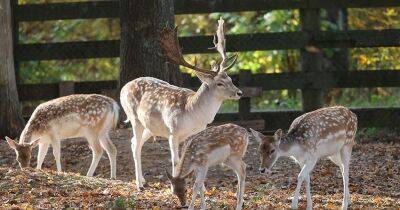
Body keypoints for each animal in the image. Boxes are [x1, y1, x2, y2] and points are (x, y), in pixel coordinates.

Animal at [120, 16, 242, 190]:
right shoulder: (173, 131)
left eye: (230, 79)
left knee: (134, 143)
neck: (192, 112)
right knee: (135, 144)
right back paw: (139, 184)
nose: (239, 93)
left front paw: (201, 188)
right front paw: (173, 187)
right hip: (134, 118)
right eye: (219, 83)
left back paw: (143, 180)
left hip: (150, 126)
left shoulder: (193, 134)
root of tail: (123, 88)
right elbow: (176, 161)